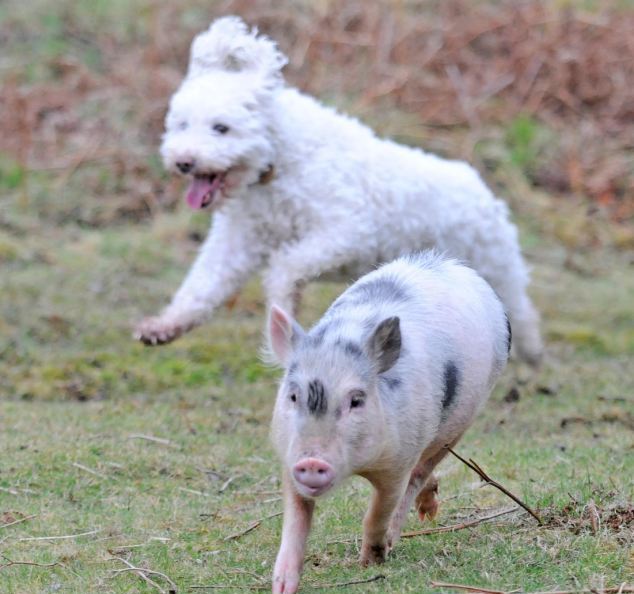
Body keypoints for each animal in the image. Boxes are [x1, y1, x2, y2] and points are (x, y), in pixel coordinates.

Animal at [133, 13, 540, 364]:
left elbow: (284, 266)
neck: (276, 163)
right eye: (180, 125)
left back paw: (530, 353)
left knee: (522, 311)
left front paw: (284, 309)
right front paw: (164, 327)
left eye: (221, 128)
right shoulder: (237, 241)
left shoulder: (347, 230)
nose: (184, 161)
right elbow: (202, 285)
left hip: (497, 266)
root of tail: (480, 186)